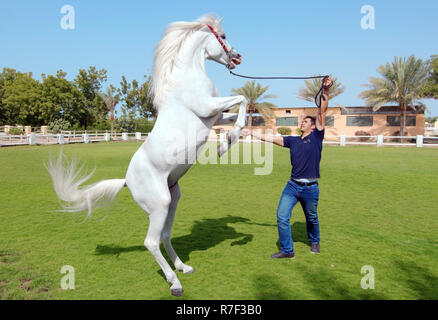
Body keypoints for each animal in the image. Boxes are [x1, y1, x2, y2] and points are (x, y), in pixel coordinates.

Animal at [47, 14, 248, 296]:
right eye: (224, 35)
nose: (237, 57)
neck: (188, 75)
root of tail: (127, 181)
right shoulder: (207, 108)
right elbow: (242, 100)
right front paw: (225, 144)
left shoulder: (215, 116)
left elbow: (242, 112)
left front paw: (227, 142)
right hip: (160, 204)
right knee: (151, 242)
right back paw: (175, 283)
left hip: (173, 199)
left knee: (164, 236)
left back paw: (182, 267)